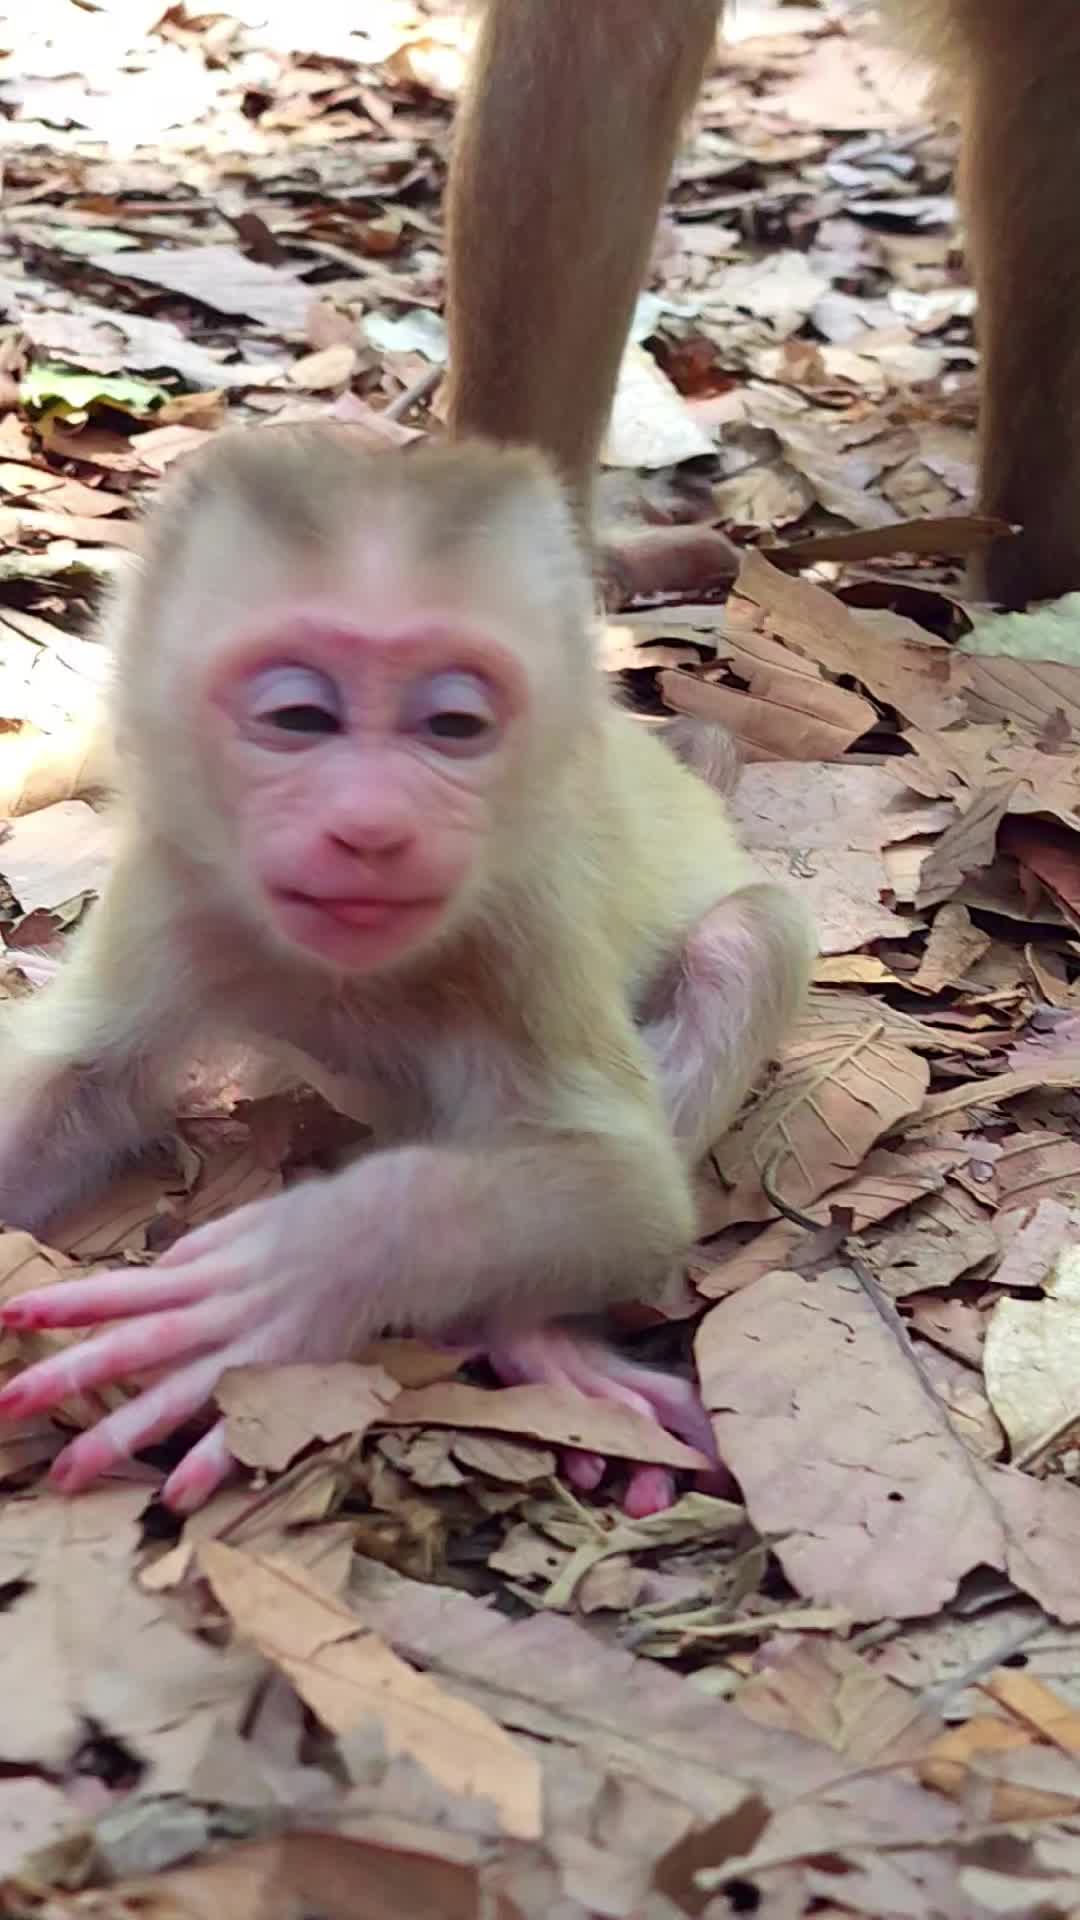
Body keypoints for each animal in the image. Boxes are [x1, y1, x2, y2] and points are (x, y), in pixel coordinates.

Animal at [0, 427, 814, 1517]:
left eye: (454, 727)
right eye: (299, 717)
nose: (373, 827)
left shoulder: (523, 917)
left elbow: (629, 1193)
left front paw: (315, 1261)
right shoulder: (174, 883)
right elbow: (82, 1084)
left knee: (743, 942)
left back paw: (534, 1335)